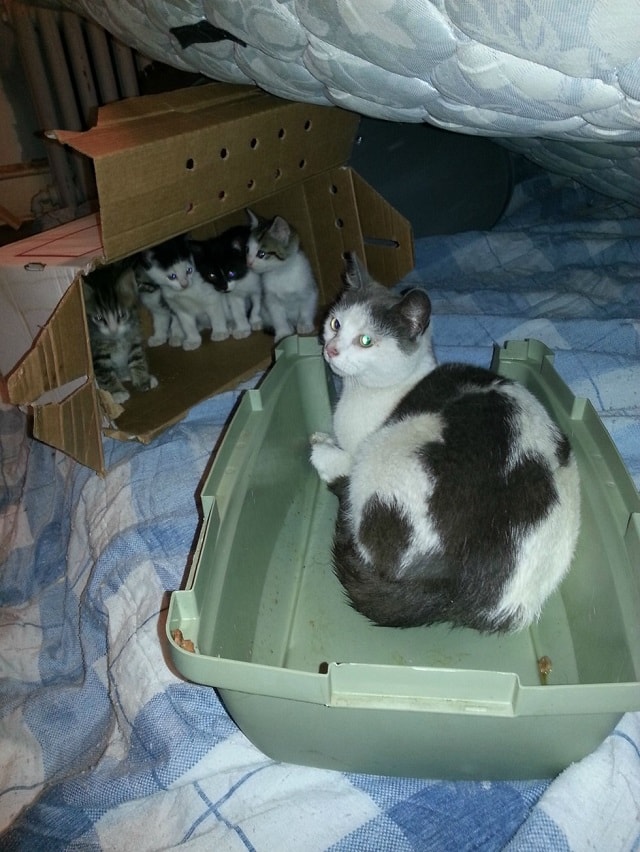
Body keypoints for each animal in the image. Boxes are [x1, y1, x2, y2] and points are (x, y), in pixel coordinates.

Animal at [82, 262, 159, 404]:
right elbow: (105, 371)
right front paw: (117, 392)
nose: (113, 329)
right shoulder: (96, 351)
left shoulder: (134, 334)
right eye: (98, 318)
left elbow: (137, 358)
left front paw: (143, 379)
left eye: (121, 314)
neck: (116, 338)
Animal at [245, 208, 318, 342]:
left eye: (261, 254)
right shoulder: (270, 299)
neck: (281, 273)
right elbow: (278, 317)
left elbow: (307, 307)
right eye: (247, 249)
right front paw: (283, 333)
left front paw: (305, 324)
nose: (248, 263)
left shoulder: (309, 289)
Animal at [308, 256, 580, 636]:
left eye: (366, 341)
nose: (331, 349)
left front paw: (323, 445)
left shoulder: (360, 448)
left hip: (384, 457)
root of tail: (461, 592)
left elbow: (344, 460)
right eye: (335, 323)